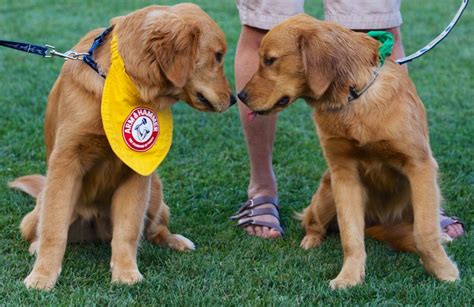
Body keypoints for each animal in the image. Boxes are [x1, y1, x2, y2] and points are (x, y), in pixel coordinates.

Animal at [8, 3, 234, 292]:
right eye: (217, 56)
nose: (233, 99)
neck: (124, 82)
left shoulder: (137, 170)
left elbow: (128, 230)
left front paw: (126, 273)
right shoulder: (65, 162)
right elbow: (53, 229)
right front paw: (42, 276)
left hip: (155, 188)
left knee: (154, 229)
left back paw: (177, 241)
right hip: (33, 216)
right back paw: (36, 247)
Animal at [241, 13, 460, 288]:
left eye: (270, 60)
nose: (240, 96)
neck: (353, 96)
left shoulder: (419, 165)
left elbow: (425, 232)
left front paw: (443, 271)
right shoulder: (343, 173)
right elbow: (350, 235)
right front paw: (349, 277)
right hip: (326, 193)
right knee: (313, 221)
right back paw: (310, 240)